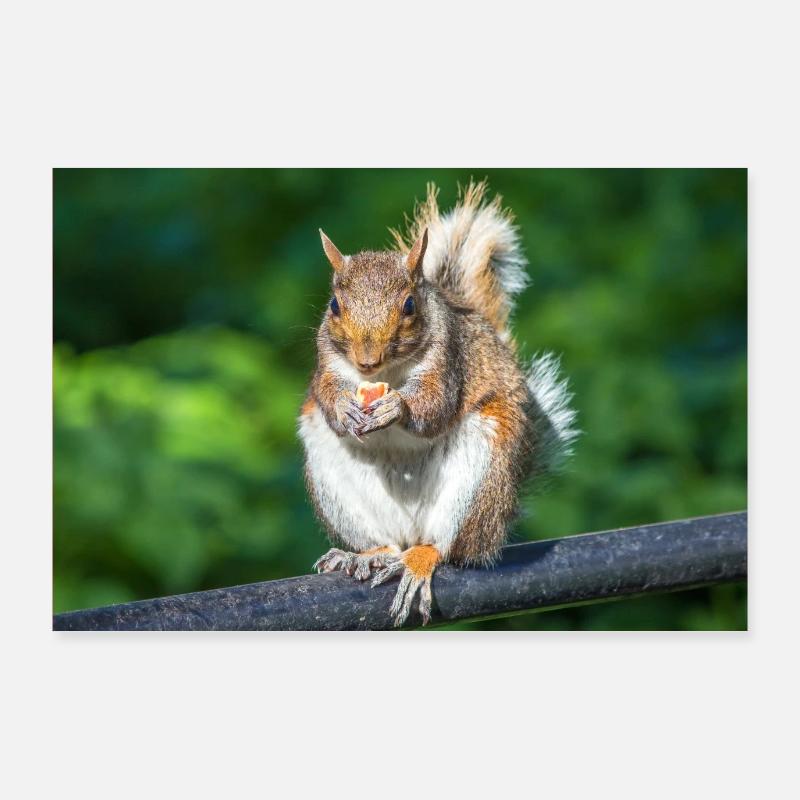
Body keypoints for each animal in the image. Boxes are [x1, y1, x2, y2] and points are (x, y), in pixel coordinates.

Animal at [298, 180, 577, 626]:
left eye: (409, 305)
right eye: (334, 306)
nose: (366, 360)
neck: (388, 373)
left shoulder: (448, 360)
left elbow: (434, 406)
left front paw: (397, 408)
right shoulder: (327, 361)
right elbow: (326, 395)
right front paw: (343, 408)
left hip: (480, 475)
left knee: (447, 547)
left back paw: (419, 560)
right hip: (332, 474)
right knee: (386, 541)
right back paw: (369, 554)